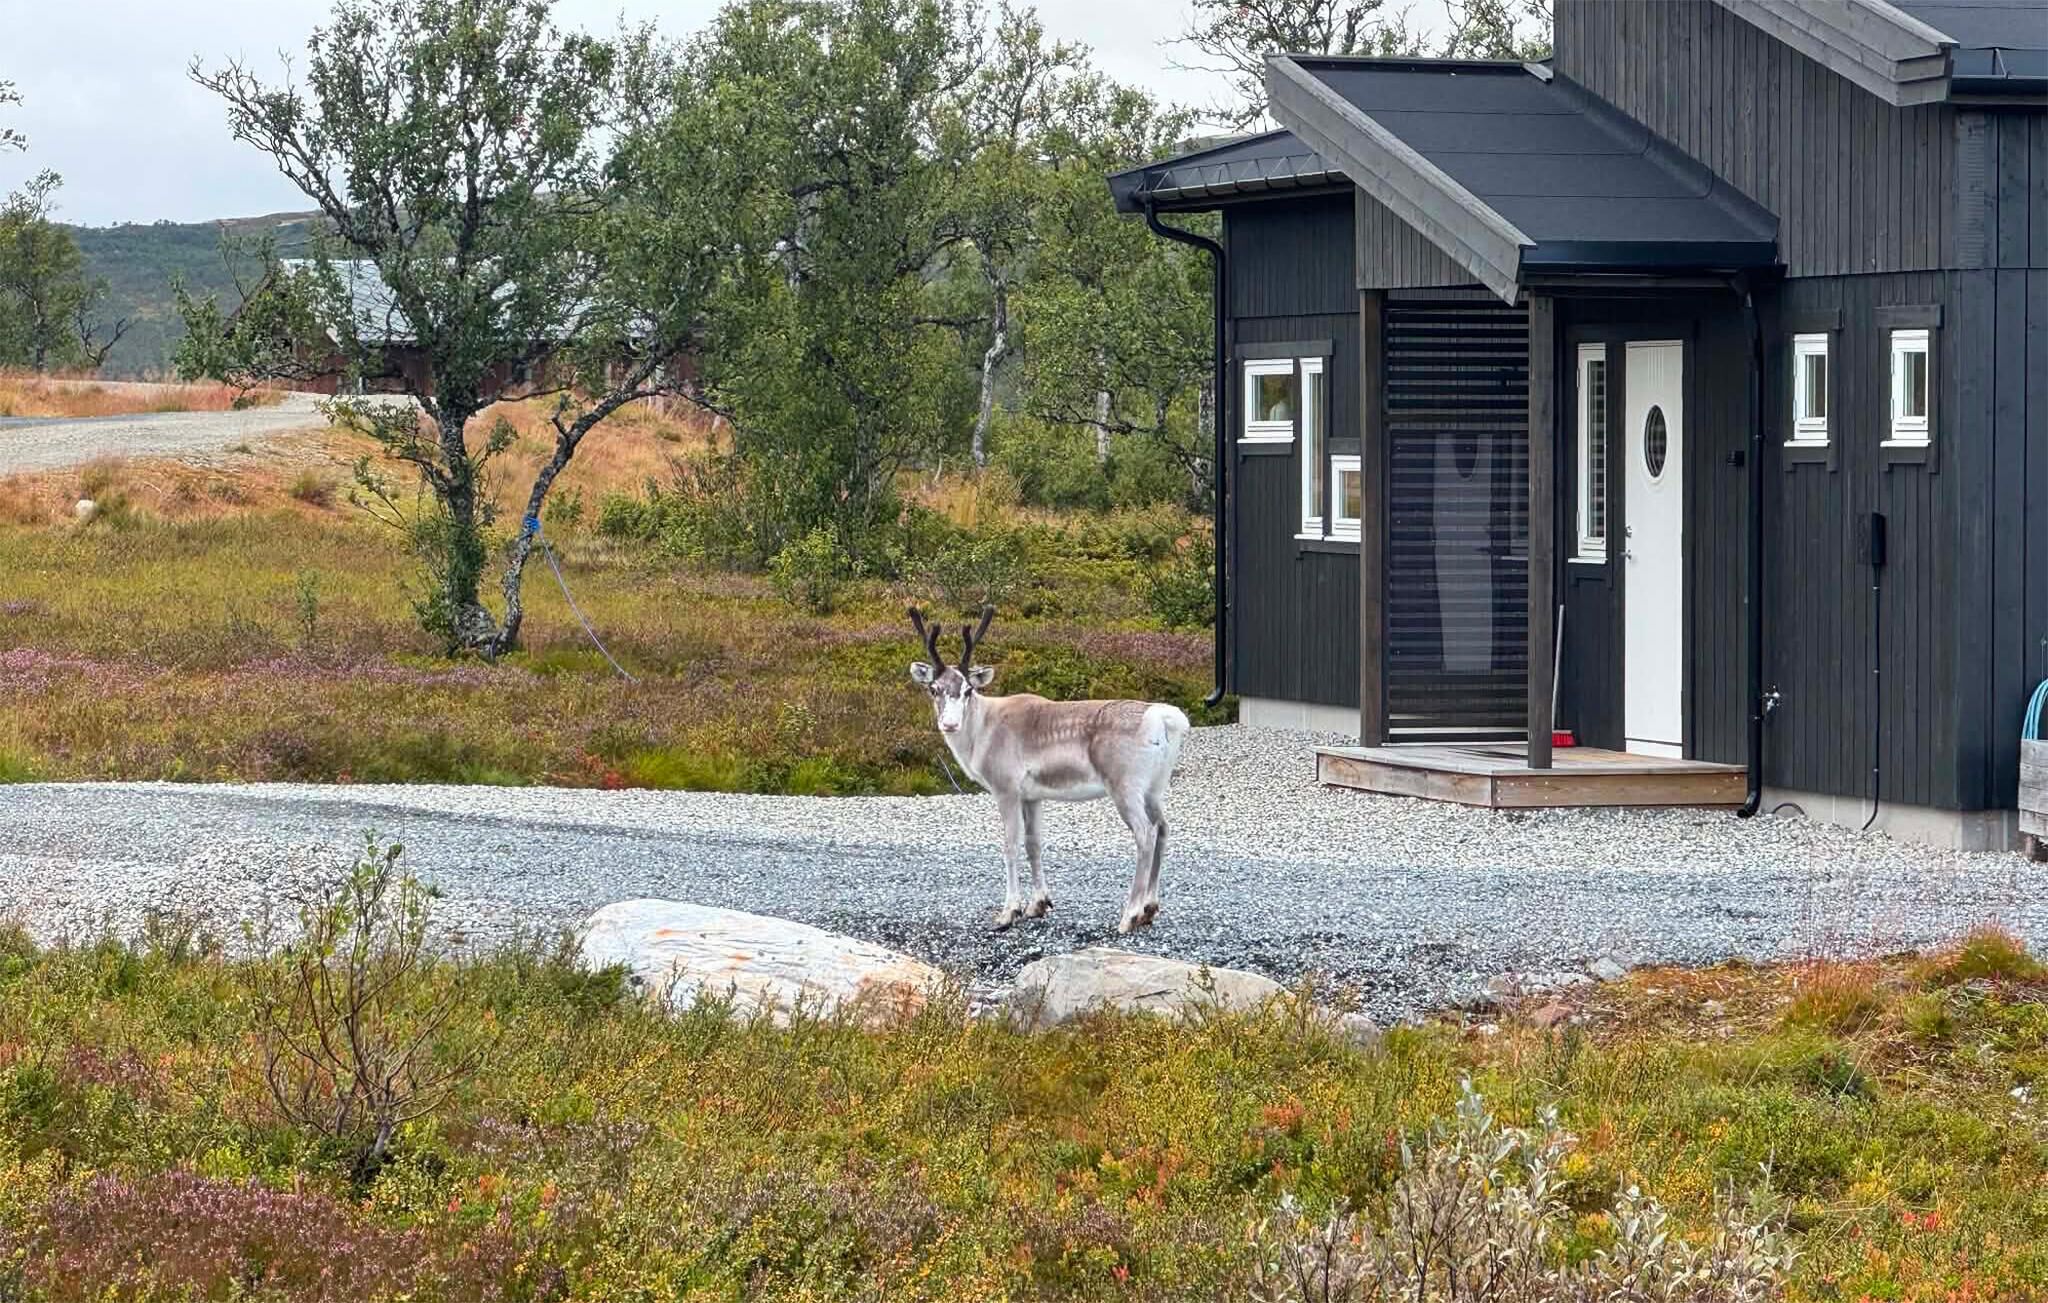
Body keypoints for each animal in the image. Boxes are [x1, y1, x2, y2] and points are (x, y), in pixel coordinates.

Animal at [908, 606, 1190, 934]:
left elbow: (1010, 844)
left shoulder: (1005, 788)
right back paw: (1149, 909)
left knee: (1145, 834)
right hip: (1155, 787)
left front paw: (1008, 912)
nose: (950, 724)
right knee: (1163, 828)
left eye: (968, 690)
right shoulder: (1032, 796)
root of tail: (1166, 719)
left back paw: (1129, 915)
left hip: (1125, 785)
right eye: (933, 689)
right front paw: (1038, 904)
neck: (982, 730)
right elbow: (1034, 844)